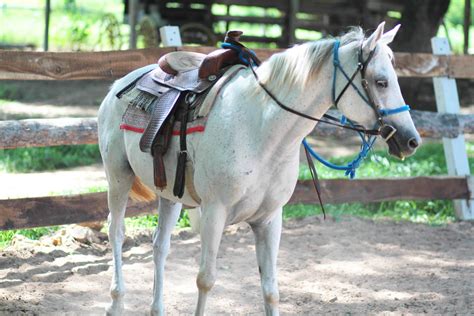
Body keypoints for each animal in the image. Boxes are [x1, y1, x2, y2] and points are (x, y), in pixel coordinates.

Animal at [98, 21, 420, 314]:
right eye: (381, 81)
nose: (411, 140)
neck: (261, 131)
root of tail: (118, 85)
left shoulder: (269, 219)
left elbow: (270, 289)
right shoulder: (214, 213)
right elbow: (205, 280)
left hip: (170, 195)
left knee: (159, 246)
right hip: (118, 177)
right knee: (117, 232)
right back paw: (115, 302)